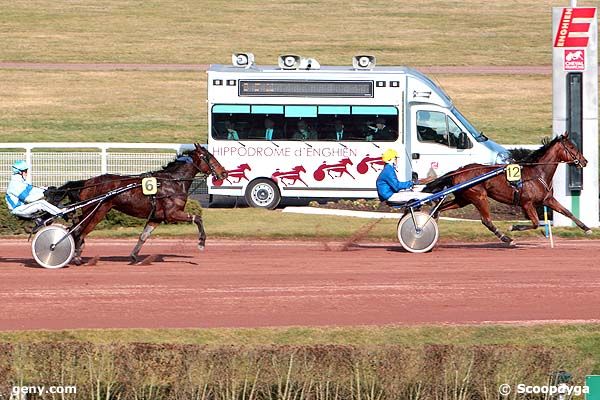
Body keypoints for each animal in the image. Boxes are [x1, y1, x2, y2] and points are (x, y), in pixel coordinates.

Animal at [49, 143, 226, 262]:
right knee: (78, 231)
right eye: (208, 157)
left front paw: (134, 256)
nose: (224, 173)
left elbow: (144, 235)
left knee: (75, 229)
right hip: (97, 211)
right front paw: (201, 242)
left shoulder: (156, 217)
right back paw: (72, 255)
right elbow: (198, 218)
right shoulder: (172, 214)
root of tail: (87, 182)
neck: (174, 182)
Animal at [422, 133, 592, 245]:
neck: (537, 172)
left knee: (439, 209)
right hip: (479, 197)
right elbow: (536, 223)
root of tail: (458, 171)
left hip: (463, 198)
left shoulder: (547, 199)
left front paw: (587, 228)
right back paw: (506, 238)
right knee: (486, 220)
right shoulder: (527, 203)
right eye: (571, 147)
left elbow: (567, 212)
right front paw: (513, 226)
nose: (584, 161)